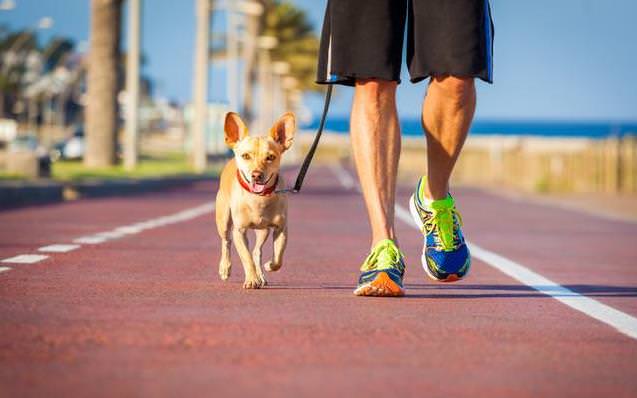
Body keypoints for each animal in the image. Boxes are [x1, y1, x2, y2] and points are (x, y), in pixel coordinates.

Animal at [214, 112, 294, 290]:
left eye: (270, 157)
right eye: (246, 156)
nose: (256, 175)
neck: (258, 198)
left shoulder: (281, 229)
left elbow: (278, 257)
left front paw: (269, 266)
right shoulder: (239, 231)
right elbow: (246, 258)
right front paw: (251, 279)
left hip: (263, 231)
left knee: (257, 251)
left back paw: (261, 275)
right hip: (223, 221)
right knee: (226, 241)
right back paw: (225, 268)